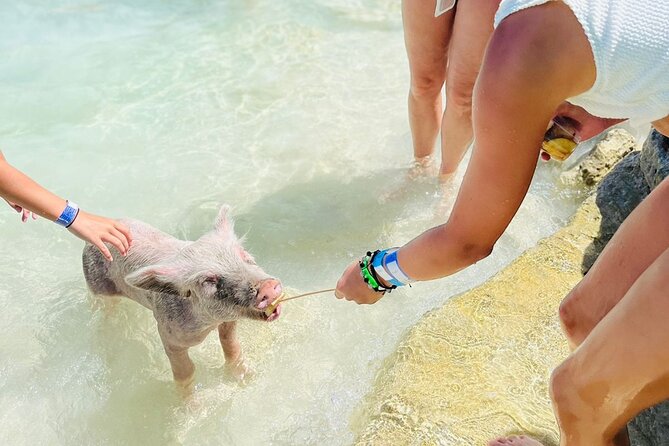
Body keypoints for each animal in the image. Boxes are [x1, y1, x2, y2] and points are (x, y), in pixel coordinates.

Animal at [82, 205, 283, 389]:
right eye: (208, 280)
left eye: (242, 254)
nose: (268, 287)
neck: (209, 324)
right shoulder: (168, 335)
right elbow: (186, 371)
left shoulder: (229, 321)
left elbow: (231, 344)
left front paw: (246, 378)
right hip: (97, 285)